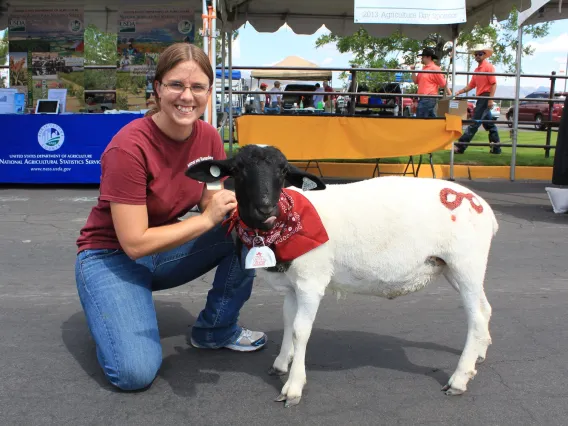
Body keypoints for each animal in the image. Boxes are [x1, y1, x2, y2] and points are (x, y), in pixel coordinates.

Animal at [185, 145, 496, 408]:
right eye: (238, 170)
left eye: (283, 171)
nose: (265, 208)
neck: (285, 224)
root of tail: (483, 207)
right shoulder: (292, 286)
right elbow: (287, 321)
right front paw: (281, 363)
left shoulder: (311, 282)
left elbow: (301, 330)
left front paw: (293, 387)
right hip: (457, 267)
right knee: (485, 309)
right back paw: (478, 356)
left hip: (466, 262)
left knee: (476, 317)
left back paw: (459, 379)